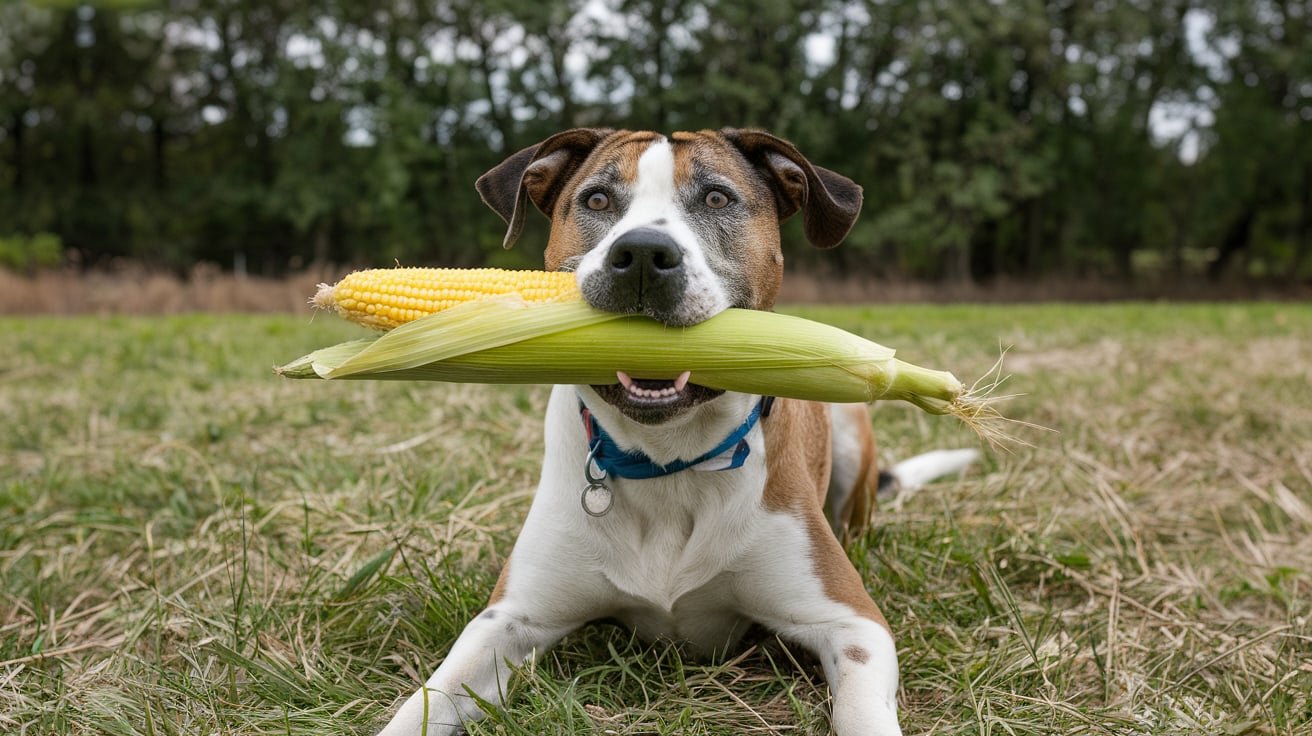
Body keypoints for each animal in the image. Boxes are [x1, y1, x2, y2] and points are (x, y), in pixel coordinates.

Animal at [377, 129, 976, 734]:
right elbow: (425, 704)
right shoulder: (510, 620)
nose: (642, 254)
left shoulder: (852, 624)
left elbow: (861, 708)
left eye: (716, 198)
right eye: (597, 200)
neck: (667, 457)